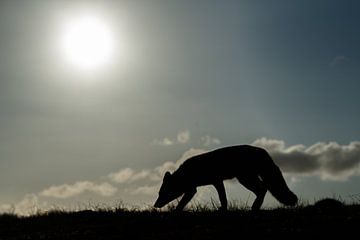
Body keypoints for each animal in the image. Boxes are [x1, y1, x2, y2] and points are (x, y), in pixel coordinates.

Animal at [155, 144, 298, 210]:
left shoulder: (195, 188)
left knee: (263, 189)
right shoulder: (214, 183)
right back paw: (255, 207)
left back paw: (254, 207)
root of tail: (262, 150)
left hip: (245, 179)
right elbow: (223, 198)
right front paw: (223, 209)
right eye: (159, 193)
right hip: (246, 179)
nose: (155, 205)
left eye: (163, 193)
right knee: (263, 189)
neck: (186, 173)